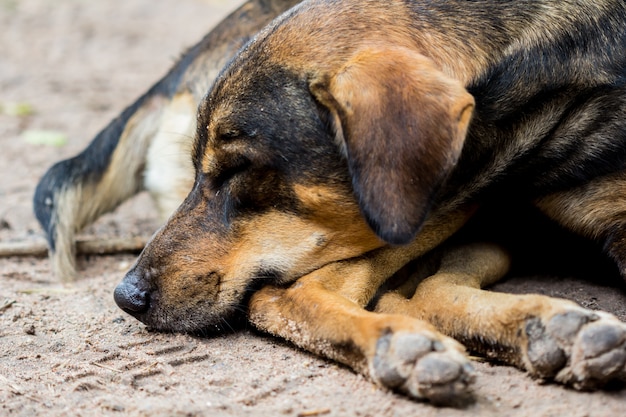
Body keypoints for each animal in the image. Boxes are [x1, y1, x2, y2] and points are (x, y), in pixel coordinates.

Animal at [34, 0, 624, 404]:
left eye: (238, 169)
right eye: (202, 168)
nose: (125, 296)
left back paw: (551, 331)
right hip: (441, 203)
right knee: (300, 294)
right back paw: (408, 346)